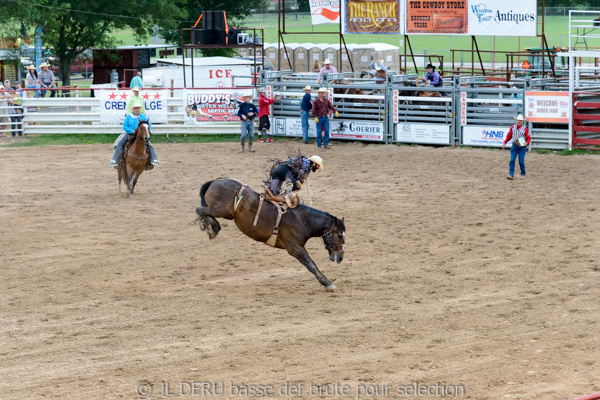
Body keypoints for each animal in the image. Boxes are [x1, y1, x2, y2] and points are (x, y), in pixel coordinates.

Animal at [196, 178, 346, 290]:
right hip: (221, 210)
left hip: (226, 214)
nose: (340, 257)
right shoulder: (295, 248)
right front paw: (328, 283)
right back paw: (214, 228)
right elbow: (311, 264)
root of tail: (216, 181)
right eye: (339, 235)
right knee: (199, 210)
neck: (302, 220)